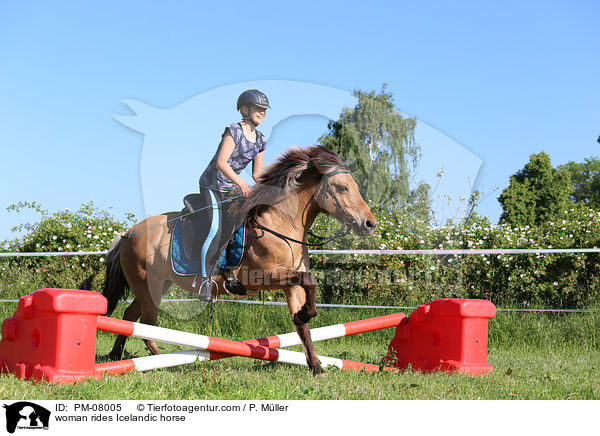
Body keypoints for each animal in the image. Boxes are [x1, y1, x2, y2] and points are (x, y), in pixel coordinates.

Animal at [82, 146, 378, 374]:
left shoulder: (289, 284)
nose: (369, 224)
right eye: (342, 188)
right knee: (145, 320)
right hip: (148, 285)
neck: (283, 222)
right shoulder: (267, 277)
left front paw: (315, 364)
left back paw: (118, 356)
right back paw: (157, 358)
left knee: (131, 316)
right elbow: (310, 281)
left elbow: (303, 323)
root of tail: (127, 233)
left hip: (156, 285)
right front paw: (307, 323)